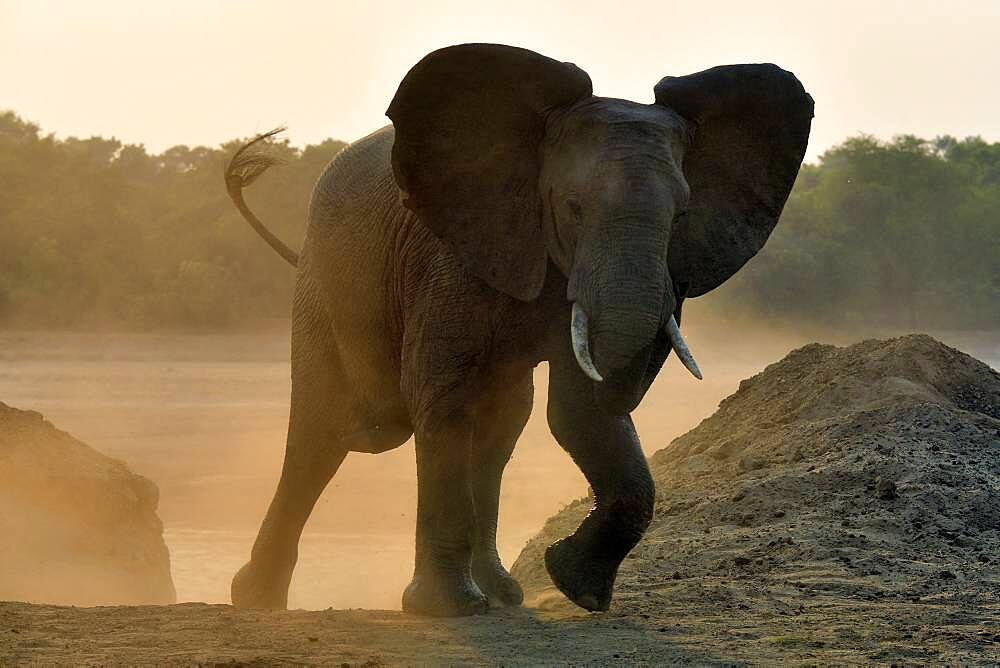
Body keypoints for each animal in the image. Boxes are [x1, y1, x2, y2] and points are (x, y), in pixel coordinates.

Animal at [227, 43, 812, 616]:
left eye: (682, 215)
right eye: (571, 207)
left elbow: (578, 411)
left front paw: (576, 585)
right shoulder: (449, 259)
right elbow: (442, 397)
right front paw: (449, 610)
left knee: (500, 429)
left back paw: (504, 595)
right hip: (324, 286)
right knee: (324, 428)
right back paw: (257, 598)